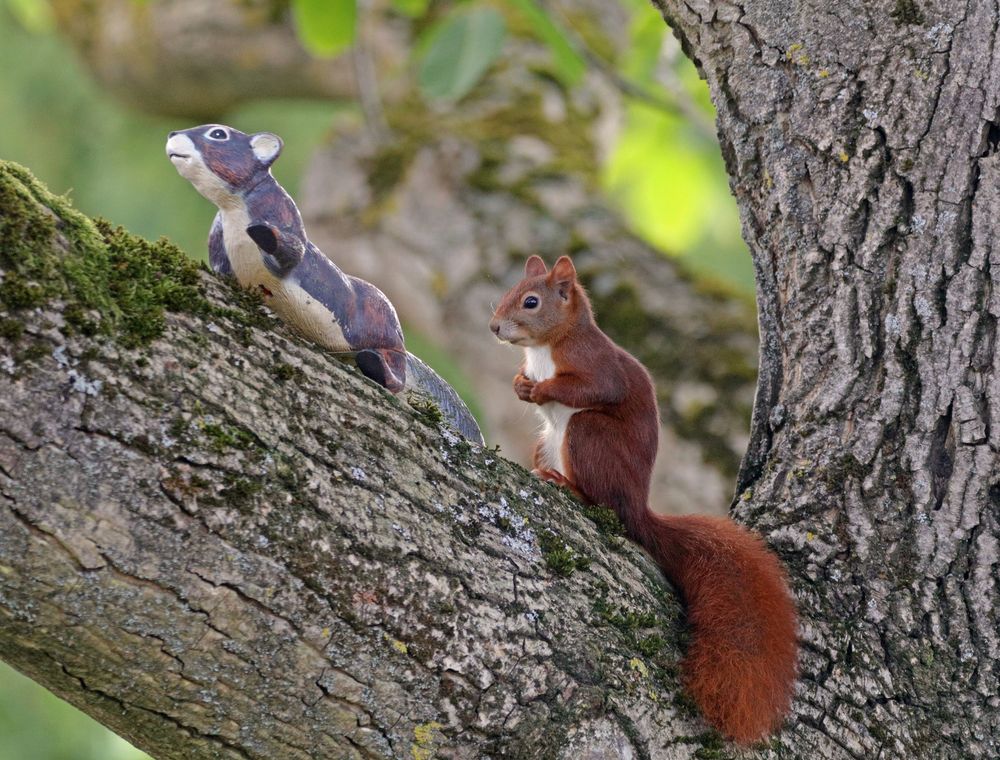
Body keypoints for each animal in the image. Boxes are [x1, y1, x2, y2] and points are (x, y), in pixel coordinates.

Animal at [492, 255, 796, 744]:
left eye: (531, 301)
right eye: (508, 293)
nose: (495, 326)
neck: (545, 349)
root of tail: (636, 507)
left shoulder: (596, 367)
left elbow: (592, 389)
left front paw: (540, 390)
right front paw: (521, 384)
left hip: (588, 436)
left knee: (599, 499)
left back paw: (569, 486)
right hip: (547, 442)